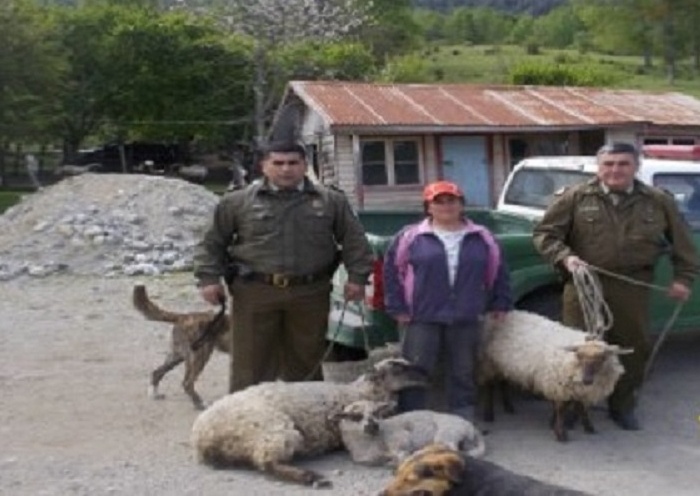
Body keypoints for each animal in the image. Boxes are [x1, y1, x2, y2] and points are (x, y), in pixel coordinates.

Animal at [189, 358, 426, 486]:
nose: (426, 372)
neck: (358, 391)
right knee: (266, 462)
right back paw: (312, 478)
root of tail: (203, 438)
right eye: (397, 368)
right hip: (275, 430)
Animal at [330, 398, 484, 466]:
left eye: (376, 412)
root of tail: (471, 427)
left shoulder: (400, 439)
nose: (373, 425)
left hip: (447, 433)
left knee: (451, 450)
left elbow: (401, 455)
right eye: (354, 416)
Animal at [478, 310, 632, 442]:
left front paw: (588, 427)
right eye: (579, 357)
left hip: (502, 364)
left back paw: (509, 407)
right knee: (489, 386)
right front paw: (560, 433)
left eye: (601, 359)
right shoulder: (559, 386)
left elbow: (581, 407)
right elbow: (561, 410)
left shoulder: (575, 389)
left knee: (503, 382)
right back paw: (488, 415)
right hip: (488, 362)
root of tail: (492, 314)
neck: (571, 362)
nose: (587, 380)